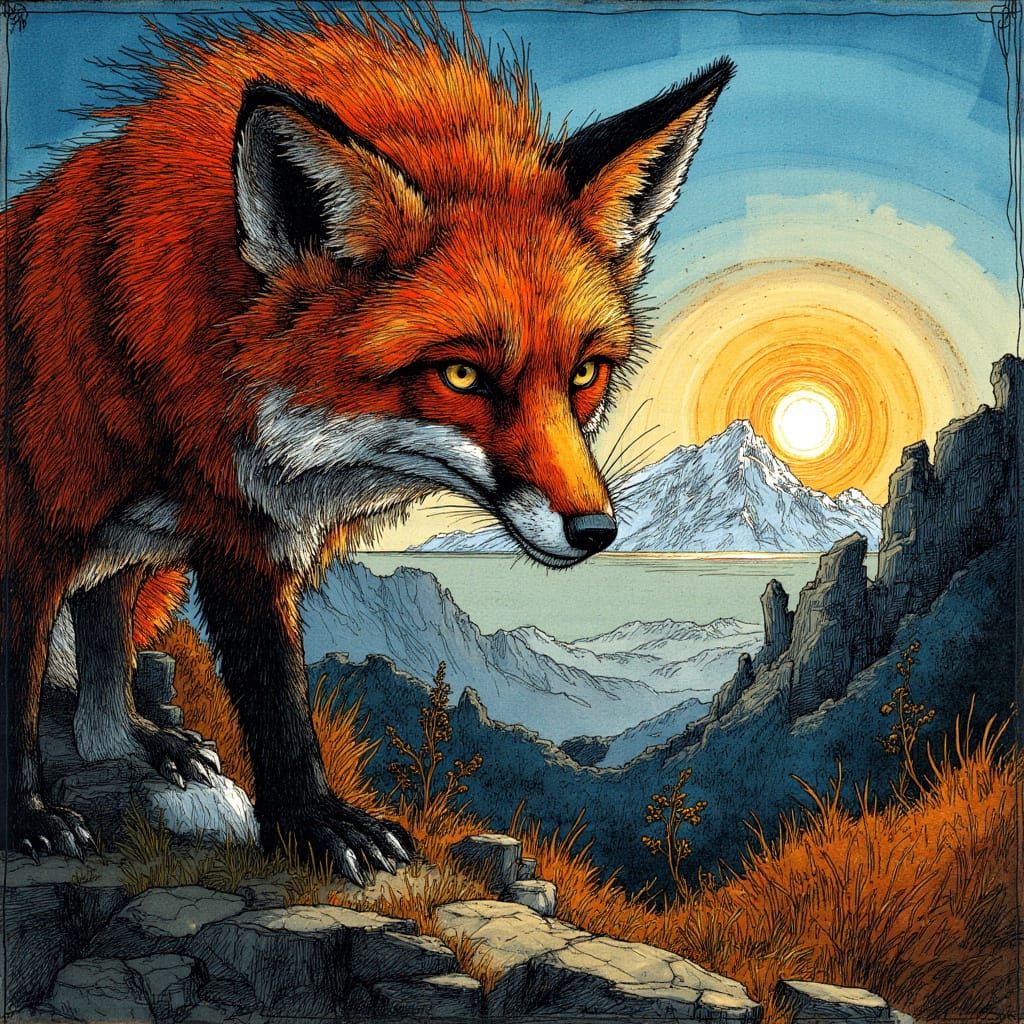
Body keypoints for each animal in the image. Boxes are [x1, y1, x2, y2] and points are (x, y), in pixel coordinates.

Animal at [1, 9, 733, 883]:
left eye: (584, 373)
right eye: (461, 375)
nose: (596, 531)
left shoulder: (243, 531)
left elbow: (261, 694)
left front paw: (303, 818)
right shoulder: (48, 532)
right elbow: (253, 704)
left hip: (141, 563)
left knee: (105, 657)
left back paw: (142, 743)